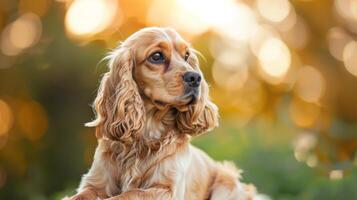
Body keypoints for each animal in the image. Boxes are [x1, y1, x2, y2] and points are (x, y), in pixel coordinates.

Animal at [65, 27, 262, 199]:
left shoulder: (166, 189)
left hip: (227, 183)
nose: (196, 77)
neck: (145, 133)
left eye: (186, 55)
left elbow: (128, 194)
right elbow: (80, 196)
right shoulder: (93, 183)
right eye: (157, 56)